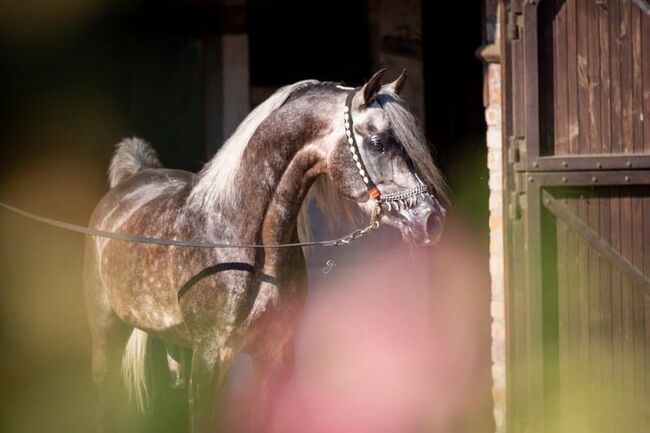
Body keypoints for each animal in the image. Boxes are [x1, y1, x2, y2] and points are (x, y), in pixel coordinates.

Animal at [81, 69, 446, 430]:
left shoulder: (274, 355)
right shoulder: (210, 357)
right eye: (378, 142)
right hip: (107, 332)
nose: (431, 219)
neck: (242, 239)